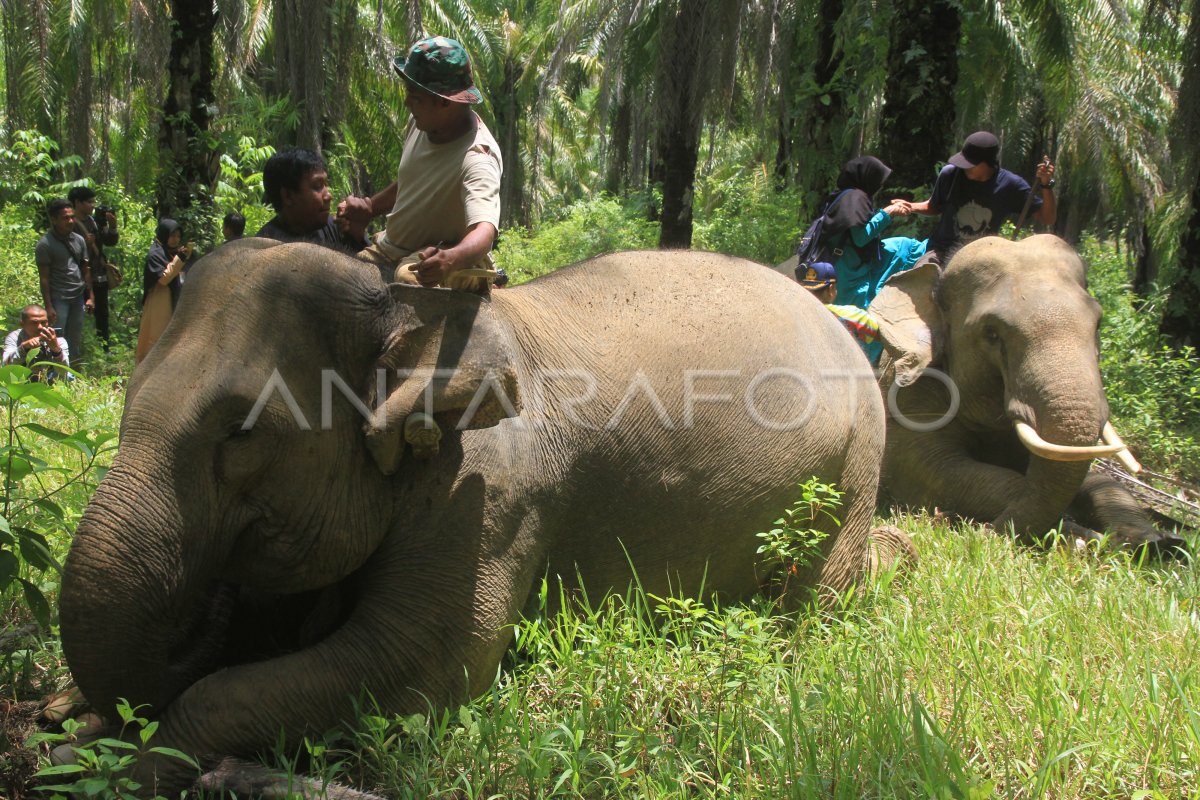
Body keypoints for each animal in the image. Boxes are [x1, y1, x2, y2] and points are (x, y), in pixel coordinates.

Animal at [56, 241, 902, 791]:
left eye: (239, 433)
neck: (408, 303)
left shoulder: (491, 490)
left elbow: (419, 669)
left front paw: (140, 768)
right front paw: (76, 734)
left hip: (858, 461)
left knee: (817, 600)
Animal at [868, 232, 1185, 551]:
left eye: (1098, 324)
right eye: (991, 333)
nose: (985, 533)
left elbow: (1099, 482)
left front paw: (1157, 542)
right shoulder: (910, 399)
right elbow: (935, 468)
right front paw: (1074, 532)